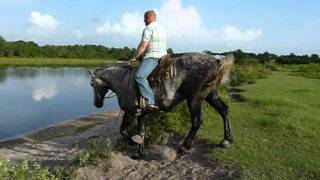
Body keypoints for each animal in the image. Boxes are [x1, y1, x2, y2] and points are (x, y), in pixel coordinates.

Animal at [89, 52, 234, 157]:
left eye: (91, 84)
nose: (96, 104)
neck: (123, 82)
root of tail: (215, 60)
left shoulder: (133, 112)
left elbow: (128, 131)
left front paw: (134, 143)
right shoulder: (140, 113)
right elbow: (137, 131)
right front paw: (140, 151)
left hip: (194, 99)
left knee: (197, 121)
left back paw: (184, 147)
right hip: (211, 95)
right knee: (224, 111)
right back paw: (227, 140)